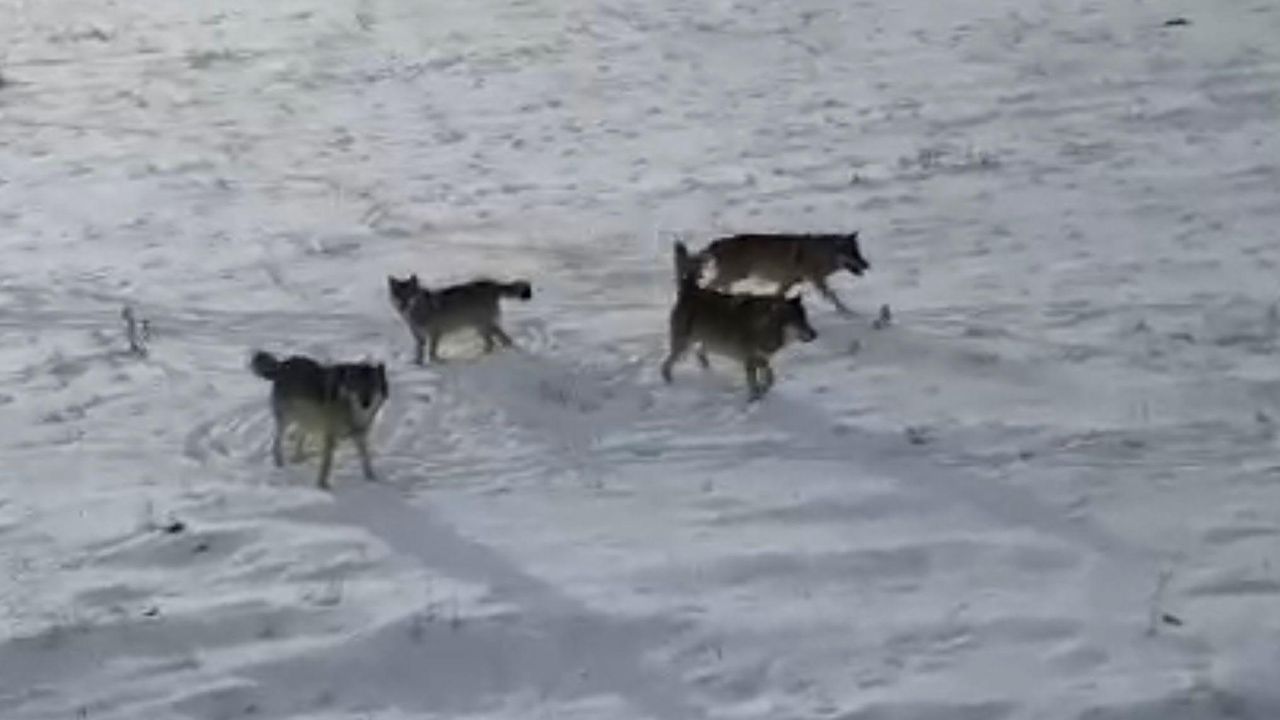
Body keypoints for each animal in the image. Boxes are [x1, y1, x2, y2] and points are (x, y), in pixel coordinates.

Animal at [249, 350, 388, 490]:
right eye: (357, 387)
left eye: (374, 386)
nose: (365, 403)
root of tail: (283, 364)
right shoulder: (329, 437)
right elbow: (327, 464)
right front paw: (322, 486)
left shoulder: (360, 436)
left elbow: (366, 460)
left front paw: (373, 480)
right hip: (286, 421)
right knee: (276, 443)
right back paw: (280, 464)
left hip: (306, 419)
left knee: (299, 437)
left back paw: (298, 459)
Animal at [388, 274, 533, 364]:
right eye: (398, 295)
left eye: (409, 295)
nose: (403, 305)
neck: (418, 311)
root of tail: (491, 283)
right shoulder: (419, 337)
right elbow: (419, 352)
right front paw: (418, 365)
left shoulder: (435, 334)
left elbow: (432, 352)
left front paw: (435, 363)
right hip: (482, 327)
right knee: (498, 341)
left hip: (484, 326)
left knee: (500, 340)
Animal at [661, 242, 817, 401]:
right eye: (797, 321)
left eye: (805, 319)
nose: (815, 334)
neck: (764, 327)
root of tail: (690, 289)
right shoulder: (750, 360)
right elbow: (756, 383)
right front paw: (755, 397)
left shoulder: (761, 359)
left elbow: (770, 378)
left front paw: (763, 390)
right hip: (683, 344)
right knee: (666, 364)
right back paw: (669, 381)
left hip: (708, 340)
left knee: (699, 353)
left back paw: (707, 371)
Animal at [690, 232, 870, 315]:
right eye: (853, 254)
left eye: (858, 252)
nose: (867, 265)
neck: (820, 254)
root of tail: (717, 243)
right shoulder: (812, 280)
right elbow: (833, 297)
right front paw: (848, 313)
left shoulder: (788, 283)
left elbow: (777, 297)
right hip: (733, 276)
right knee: (707, 286)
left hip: (733, 278)